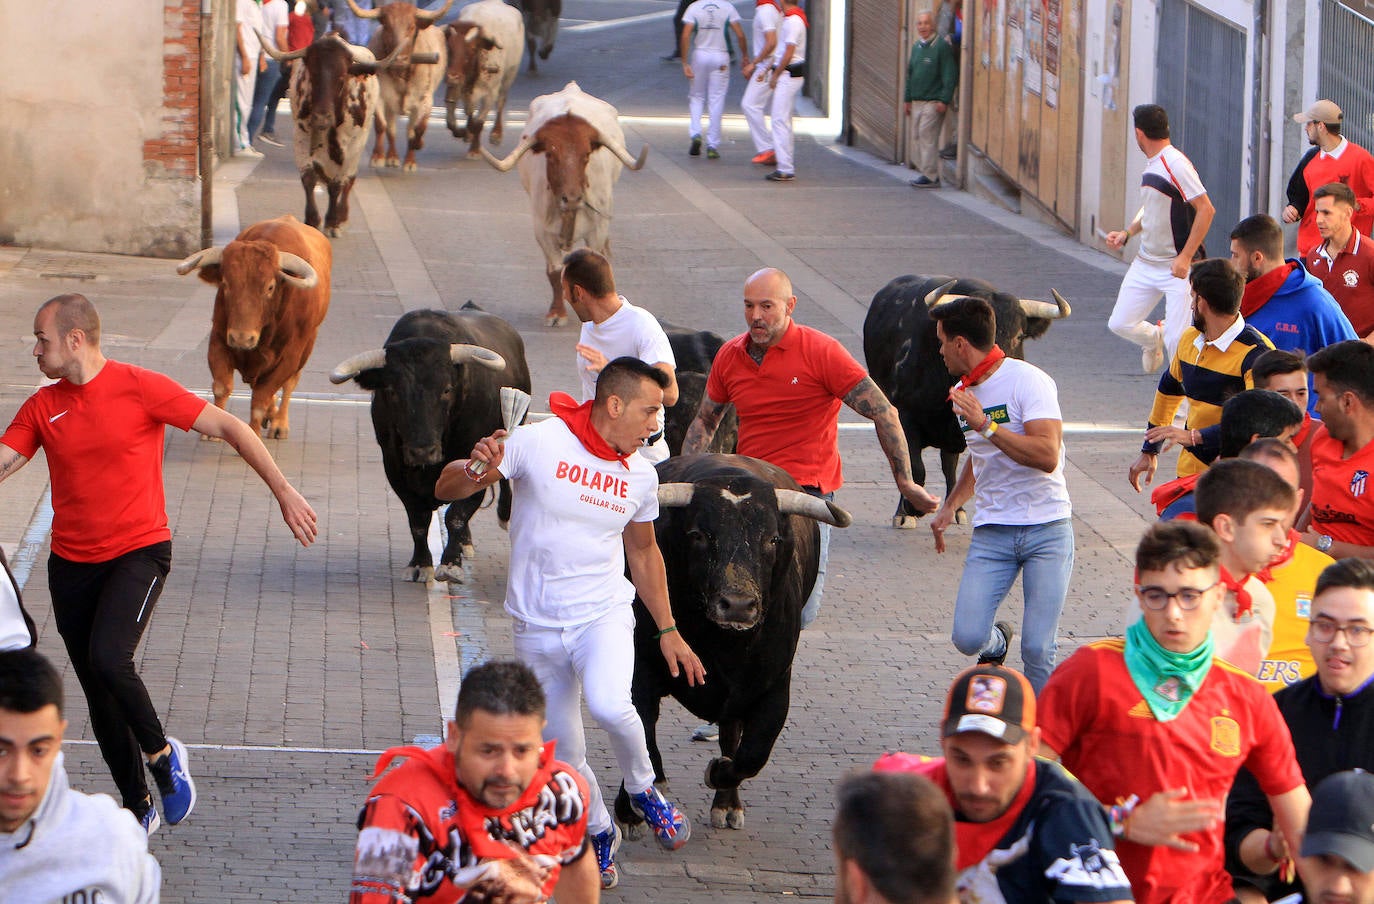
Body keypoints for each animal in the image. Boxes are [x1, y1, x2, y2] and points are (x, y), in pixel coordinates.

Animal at [327, 306, 530, 579]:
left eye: (446, 389)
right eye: (392, 391)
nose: (423, 452)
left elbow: (456, 515)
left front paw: (450, 564)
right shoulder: (394, 465)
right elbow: (418, 519)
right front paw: (420, 564)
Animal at [615, 453, 846, 829]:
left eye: (772, 539)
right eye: (698, 534)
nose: (737, 604)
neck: (723, 646)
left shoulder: (773, 688)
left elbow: (751, 754)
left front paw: (718, 773)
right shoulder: (641, 670)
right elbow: (640, 733)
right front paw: (634, 806)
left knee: (731, 734)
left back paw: (726, 802)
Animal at [857, 274, 1071, 527]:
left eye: (1019, 335)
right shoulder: (904, 417)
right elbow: (913, 466)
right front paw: (908, 510)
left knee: (949, 464)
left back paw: (956, 509)